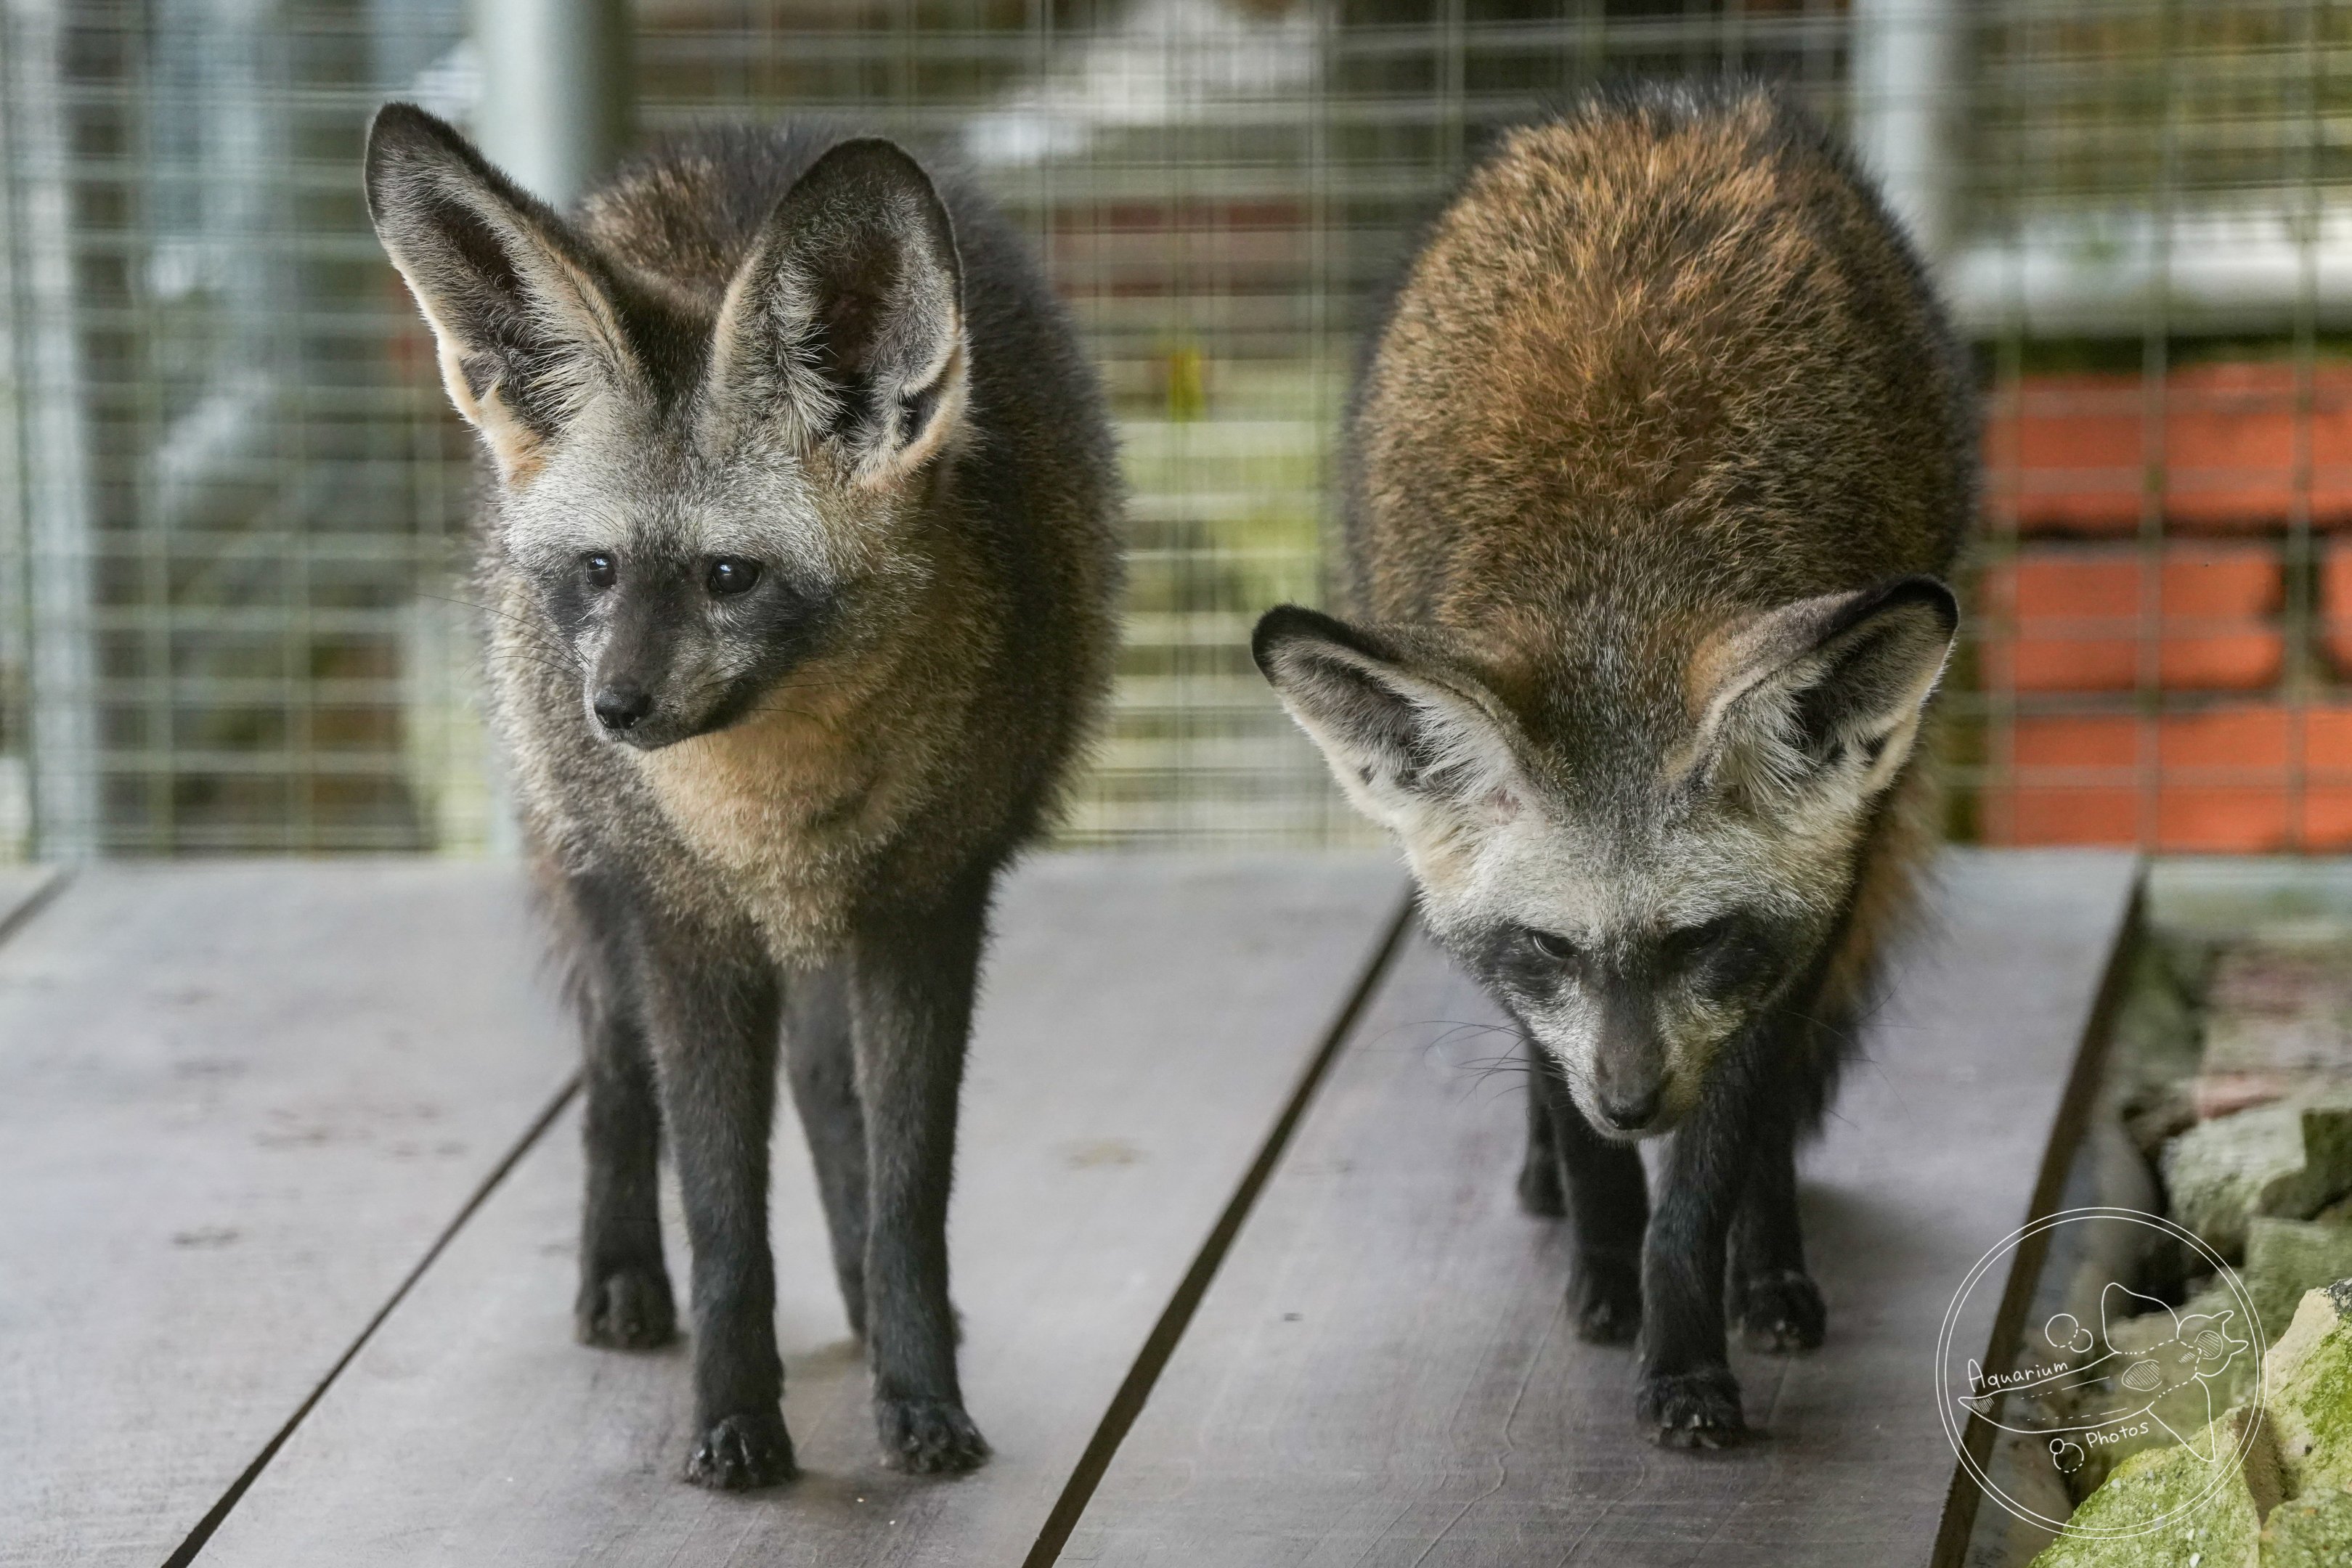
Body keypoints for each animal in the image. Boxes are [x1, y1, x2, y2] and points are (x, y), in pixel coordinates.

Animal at [363, 105, 1122, 1486]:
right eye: (598, 570)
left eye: (728, 577)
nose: (613, 711)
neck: (778, 823)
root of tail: (748, 135)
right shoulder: (686, 928)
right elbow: (721, 1218)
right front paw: (730, 1420)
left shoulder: (929, 911)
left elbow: (907, 1194)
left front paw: (918, 1394)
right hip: (594, 885)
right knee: (613, 1065)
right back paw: (618, 1276)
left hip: (832, 946)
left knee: (825, 1094)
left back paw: (865, 1303)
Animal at [1254, 83, 1972, 1447]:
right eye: (1549, 942)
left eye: (1699, 941)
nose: (1633, 1102)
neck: (1616, 575)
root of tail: (1665, 108)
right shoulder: (1528, 980)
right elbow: (1579, 1129)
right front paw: (1601, 1257)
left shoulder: (1796, 926)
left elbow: (1714, 1170)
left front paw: (1688, 1346)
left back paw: (1767, 1261)